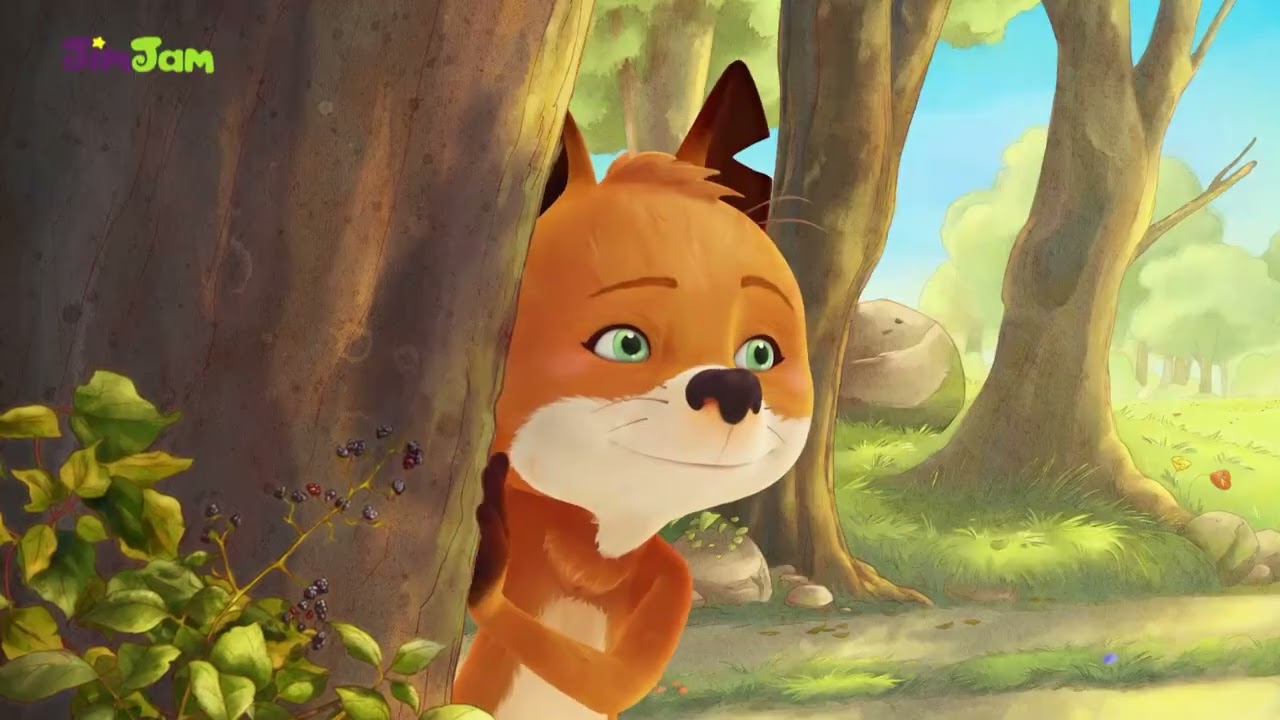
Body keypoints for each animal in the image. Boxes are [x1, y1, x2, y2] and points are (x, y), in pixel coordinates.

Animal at [452, 61, 814, 720]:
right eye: (625, 344)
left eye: (760, 354)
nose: (735, 388)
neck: (596, 552)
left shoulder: (671, 579)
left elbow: (615, 680)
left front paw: (486, 577)